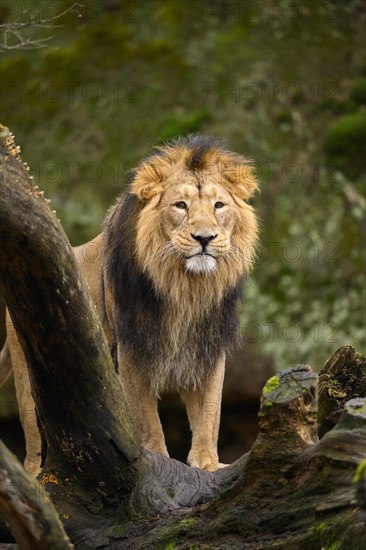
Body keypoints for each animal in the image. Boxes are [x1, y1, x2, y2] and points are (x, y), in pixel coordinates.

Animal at [0, 135, 258, 474]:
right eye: (180, 205)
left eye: (219, 205)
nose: (205, 238)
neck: (187, 287)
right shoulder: (132, 346)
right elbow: (145, 414)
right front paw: (158, 457)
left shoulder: (209, 347)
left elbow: (210, 412)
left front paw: (208, 463)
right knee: (32, 449)